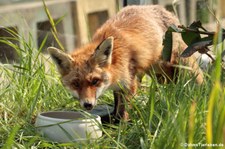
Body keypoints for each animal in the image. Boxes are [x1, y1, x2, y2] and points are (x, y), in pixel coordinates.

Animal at [48, 5, 204, 120]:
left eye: (95, 81)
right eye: (75, 84)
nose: (87, 104)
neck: (115, 63)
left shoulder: (129, 84)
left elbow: (123, 110)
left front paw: (121, 127)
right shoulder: (119, 87)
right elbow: (117, 104)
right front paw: (113, 119)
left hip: (173, 64)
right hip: (159, 73)